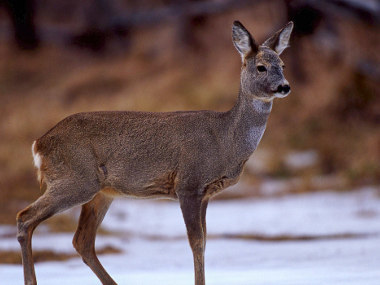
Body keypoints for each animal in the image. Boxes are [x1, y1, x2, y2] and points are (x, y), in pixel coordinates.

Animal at [16, 20, 294, 284]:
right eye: (261, 67)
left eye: (282, 64)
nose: (285, 87)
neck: (224, 140)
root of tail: (39, 143)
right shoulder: (188, 183)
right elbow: (196, 243)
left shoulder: (205, 193)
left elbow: (204, 242)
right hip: (75, 179)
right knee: (25, 218)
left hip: (102, 191)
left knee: (82, 241)